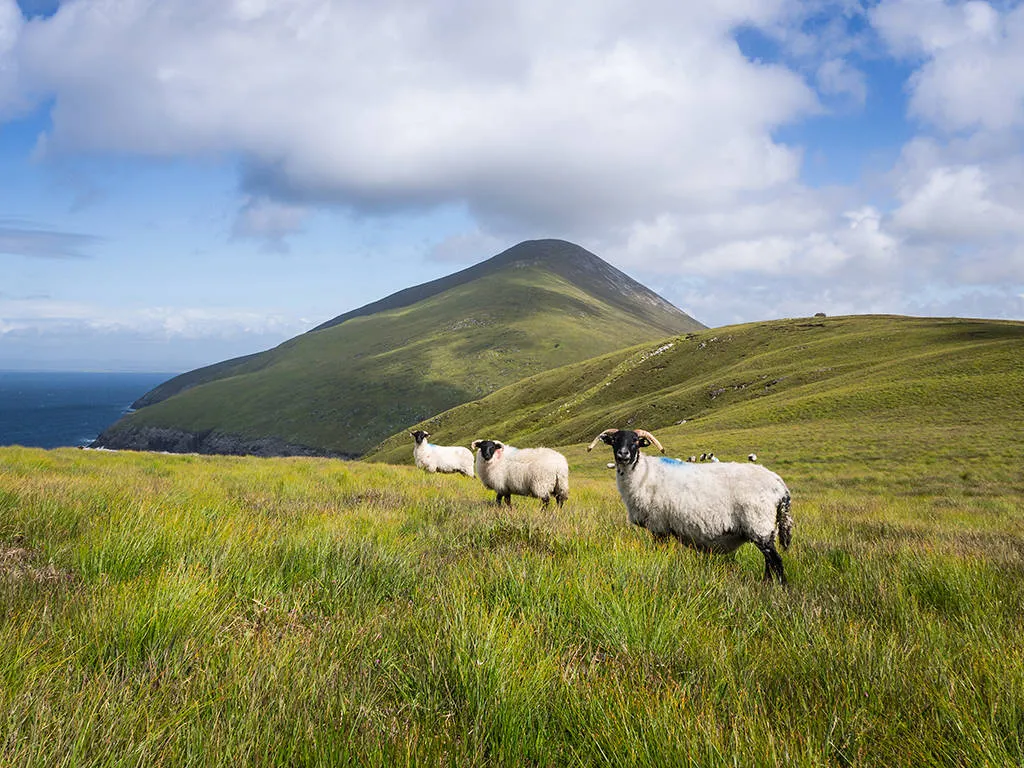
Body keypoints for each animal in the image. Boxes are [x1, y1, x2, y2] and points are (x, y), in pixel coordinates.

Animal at [589, 428, 794, 581]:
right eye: (615, 440)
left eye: (636, 441)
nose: (623, 455)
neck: (643, 474)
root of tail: (780, 485)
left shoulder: (659, 526)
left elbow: (659, 552)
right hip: (768, 528)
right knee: (769, 562)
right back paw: (767, 584)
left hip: (759, 524)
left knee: (776, 561)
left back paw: (779, 589)